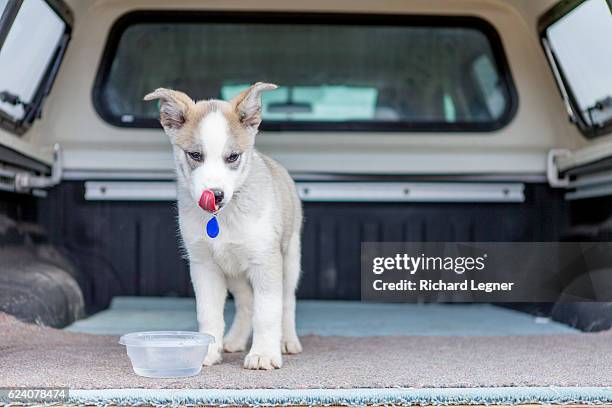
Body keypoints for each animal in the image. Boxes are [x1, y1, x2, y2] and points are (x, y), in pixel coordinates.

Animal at [146, 83, 304, 370]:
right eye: (195, 155)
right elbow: (209, 313)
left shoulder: (266, 262)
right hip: (234, 273)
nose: (215, 195)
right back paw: (234, 340)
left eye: (232, 157)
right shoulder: (204, 265)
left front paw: (264, 353)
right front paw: (208, 351)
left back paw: (287, 341)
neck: (223, 217)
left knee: (287, 301)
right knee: (246, 302)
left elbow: (267, 313)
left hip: (289, 258)